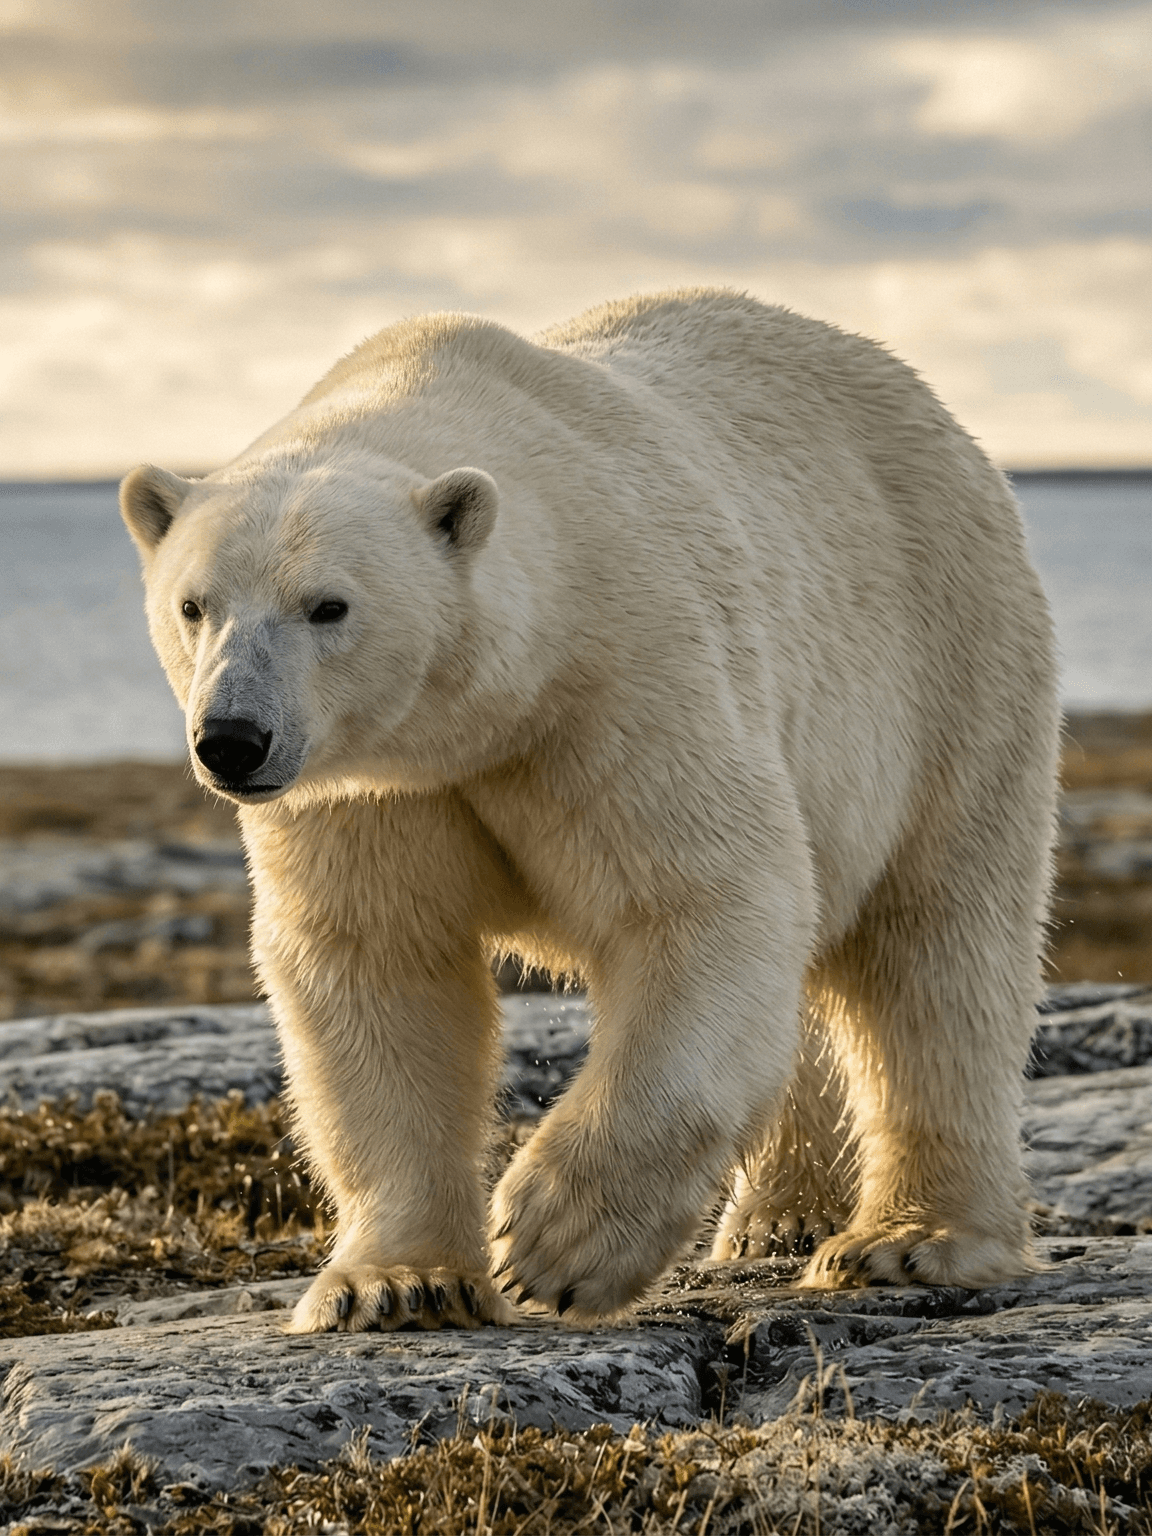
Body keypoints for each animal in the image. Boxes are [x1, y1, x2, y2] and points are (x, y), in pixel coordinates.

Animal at [120, 289, 1059, 1334]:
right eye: (194, 605)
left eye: (329, 606)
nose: (232, 739)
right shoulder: (369, 788)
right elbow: (374, 962)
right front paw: (396, 1284)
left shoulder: (623, 673)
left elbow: (703, 898)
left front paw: (552, 1242)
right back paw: (776, 1220)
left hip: (949, 658)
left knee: (937, 947)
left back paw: (908, 1240)